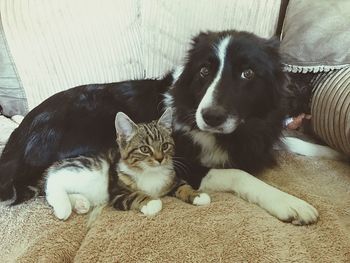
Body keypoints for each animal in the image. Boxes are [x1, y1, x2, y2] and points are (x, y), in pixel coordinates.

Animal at [45, 108, 212, 222]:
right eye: (145, 149)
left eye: (165, 146)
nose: (160, 159)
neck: (149, 172)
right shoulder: (117, 193)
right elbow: (135, 195)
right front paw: (151, 202)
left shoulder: (172, 180)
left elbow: (183, 186)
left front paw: (197, 195)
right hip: (84, 170)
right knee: (52, 182)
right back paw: (63, 207)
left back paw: (80, 203)